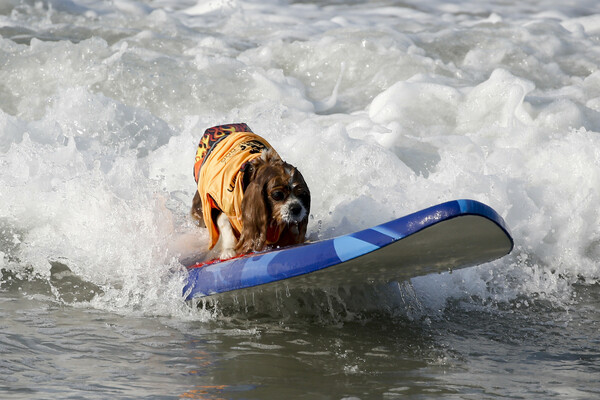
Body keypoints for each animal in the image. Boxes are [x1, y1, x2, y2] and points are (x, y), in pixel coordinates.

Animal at [191, 122, 312, 260]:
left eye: (302, 194)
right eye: (277, 195)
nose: (296, 208)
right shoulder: (218, 204)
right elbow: (224, 223)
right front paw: (228, 250)